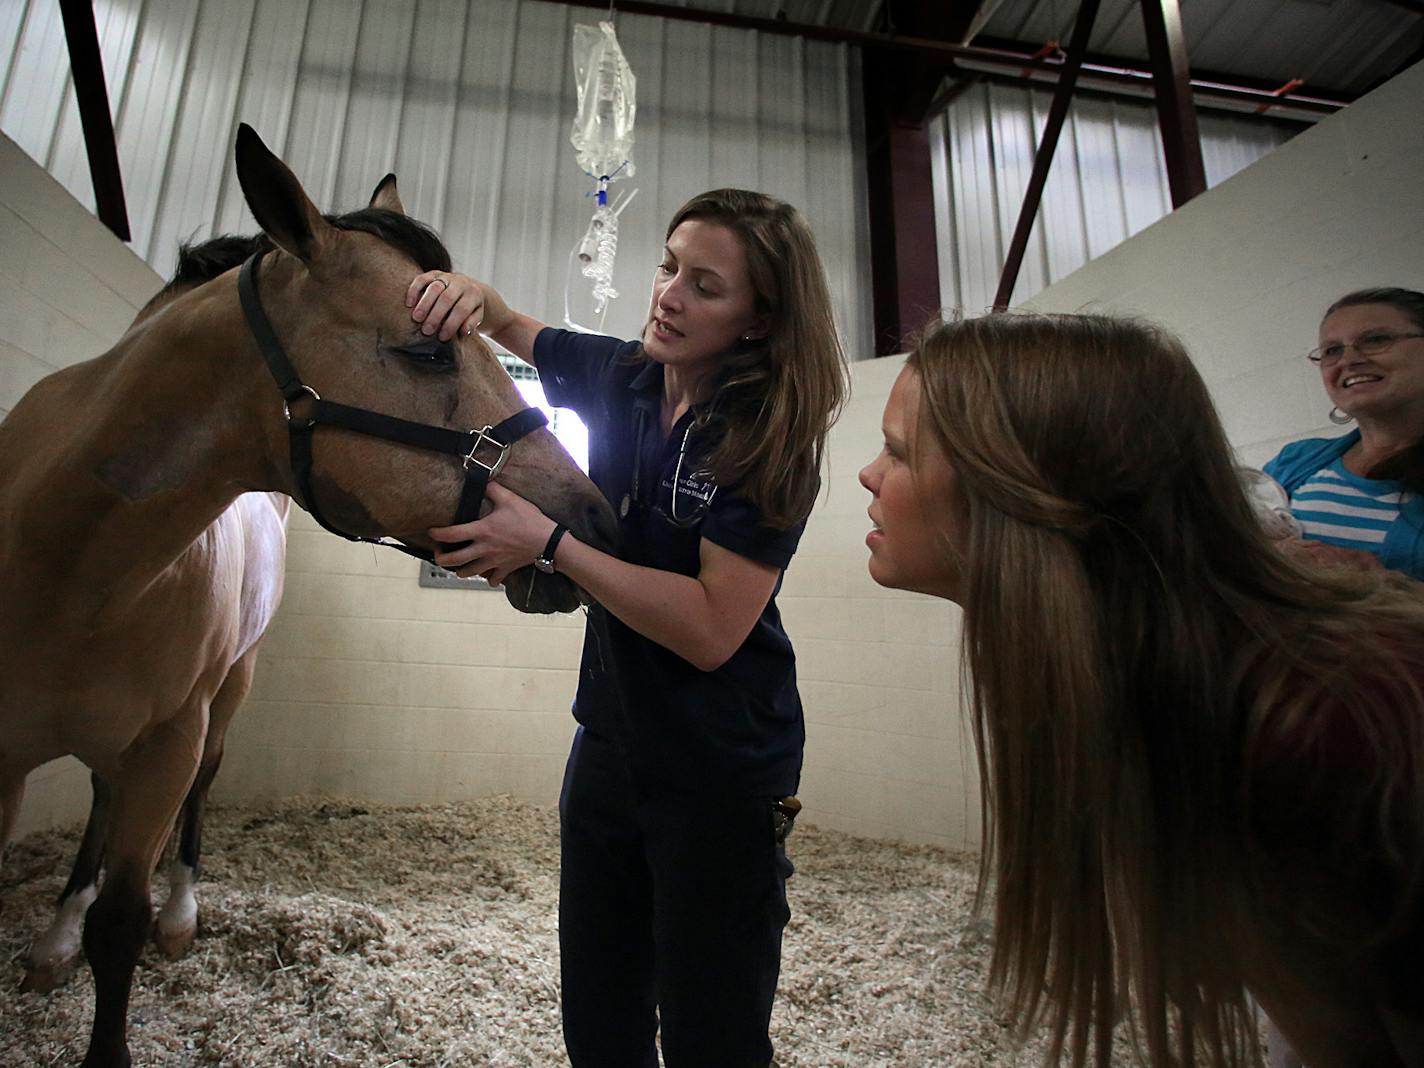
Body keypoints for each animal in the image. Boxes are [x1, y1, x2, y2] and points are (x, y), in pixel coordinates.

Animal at [20, 236, 287, 1002]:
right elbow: (103, 796)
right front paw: (61, 932)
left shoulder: (176, 724)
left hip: (233, 681)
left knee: (205, 776)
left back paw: (178, 906)